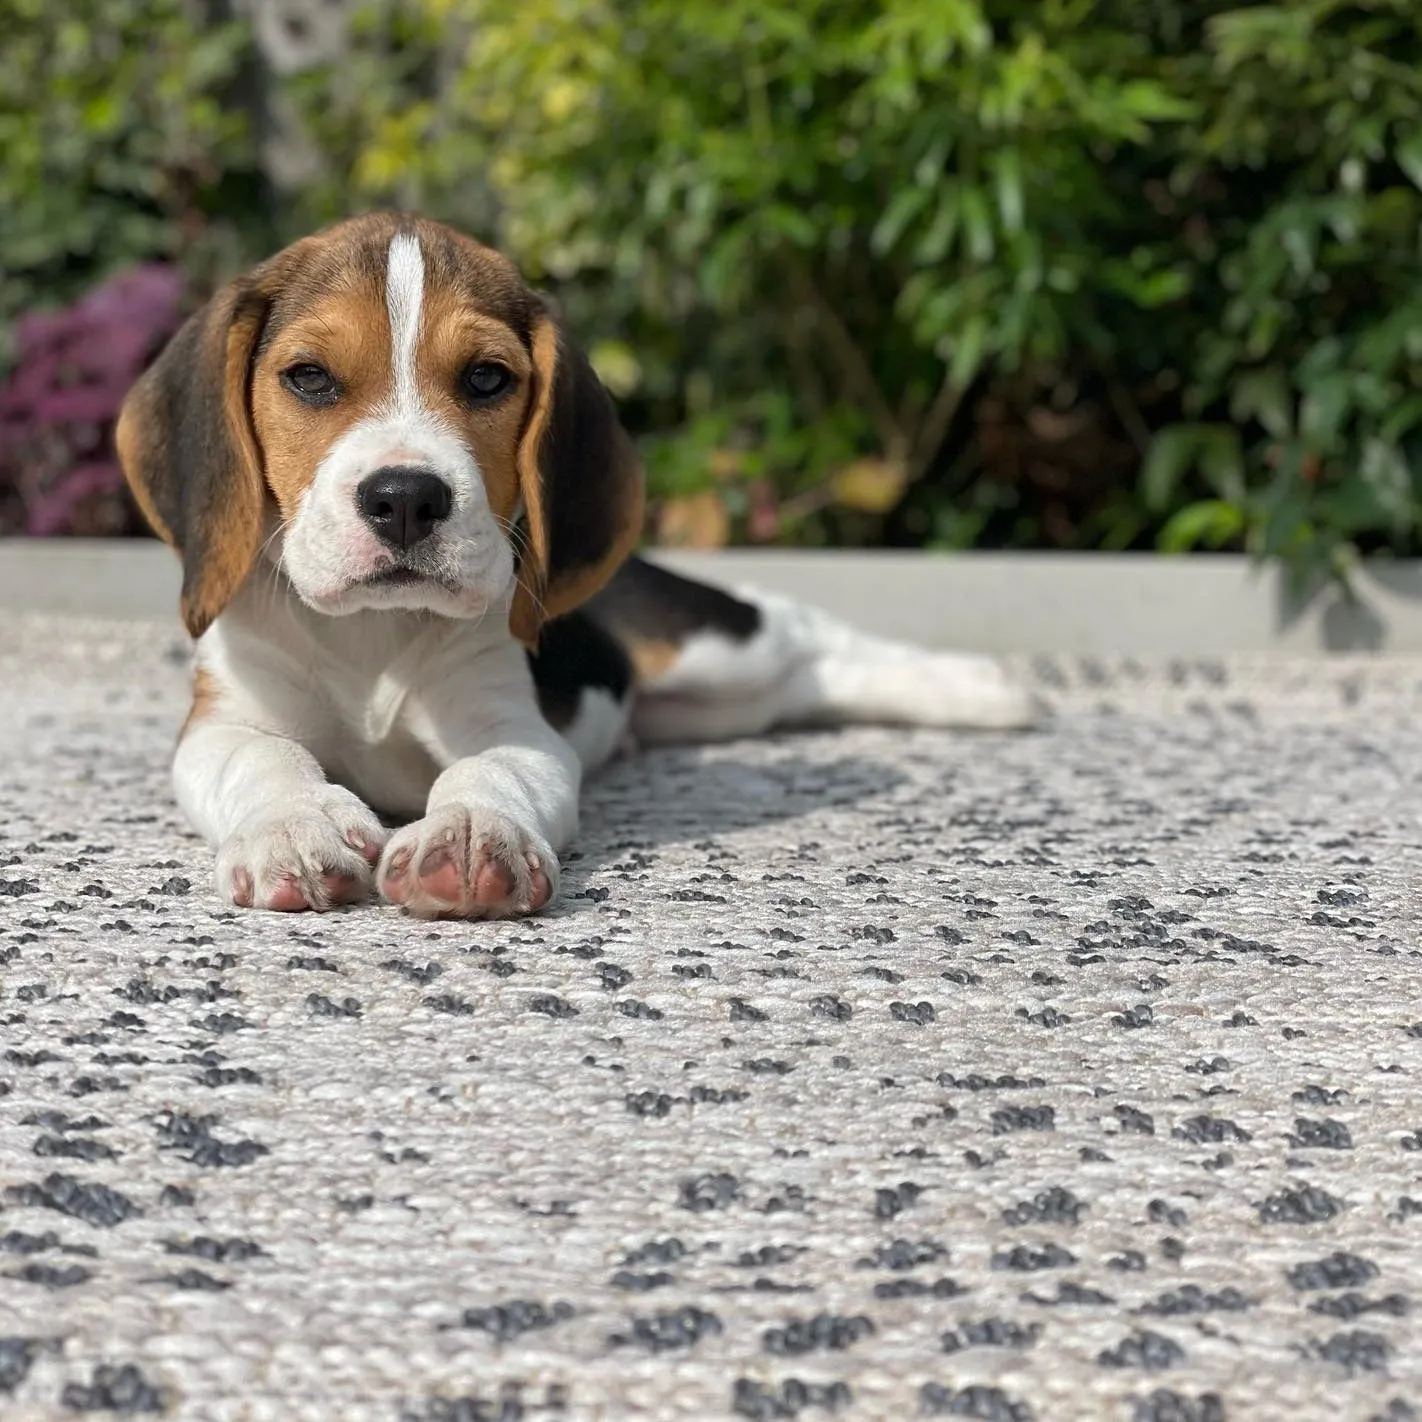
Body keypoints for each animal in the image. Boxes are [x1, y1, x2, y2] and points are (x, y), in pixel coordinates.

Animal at [116, 211, 1035, 921]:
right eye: (308, 377)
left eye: (487, 378)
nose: (406, 498)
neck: (372, 636)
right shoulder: (224, 721)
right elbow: (265, 761)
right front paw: (296, 828)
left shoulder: (515, 724)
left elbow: (488, 769)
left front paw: (469, 835)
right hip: (709, 709)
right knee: (804, 687)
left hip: (713, 647)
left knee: (807, 633)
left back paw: (991, 688)